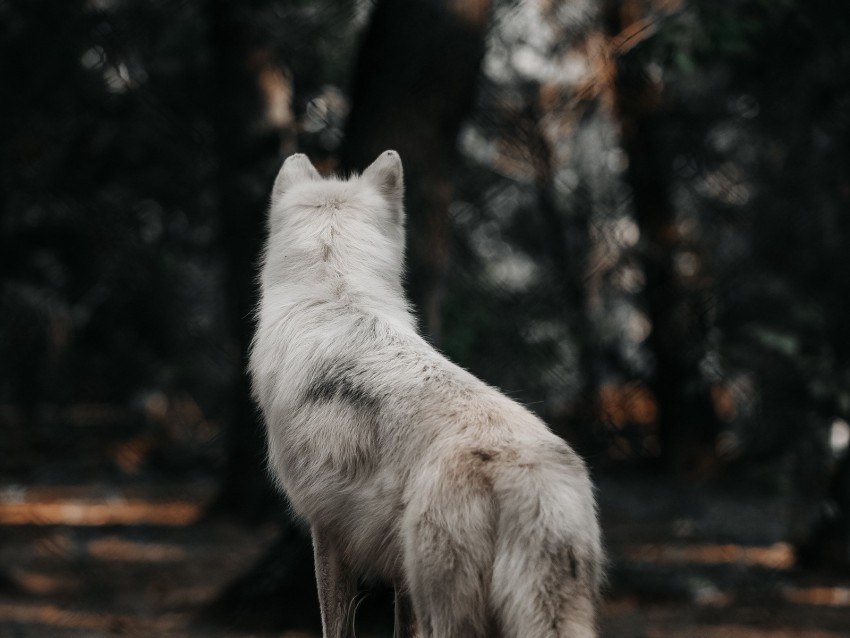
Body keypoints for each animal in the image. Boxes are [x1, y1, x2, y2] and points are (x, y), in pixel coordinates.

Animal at [248, 151, 600, 638]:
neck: (336, 294)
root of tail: (524, 471)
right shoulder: (396, 571)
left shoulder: (326, 529)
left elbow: (334, 624)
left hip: (445, 609)